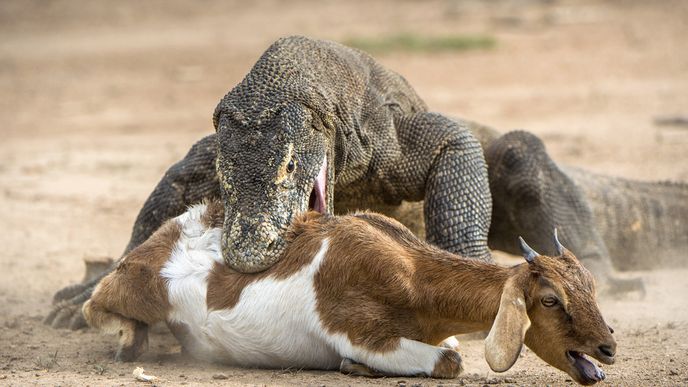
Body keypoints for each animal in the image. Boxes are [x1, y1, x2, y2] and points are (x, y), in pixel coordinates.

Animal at [83, 202, 616, 386]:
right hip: (137, 286)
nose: (607, 346)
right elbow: (449, 361)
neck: (411, 274)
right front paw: (353, 366)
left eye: (590, 287)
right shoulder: (359, 330)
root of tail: (184, 223)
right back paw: (130, 340)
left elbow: (449, 349)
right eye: (550, 299)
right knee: (95, 303)